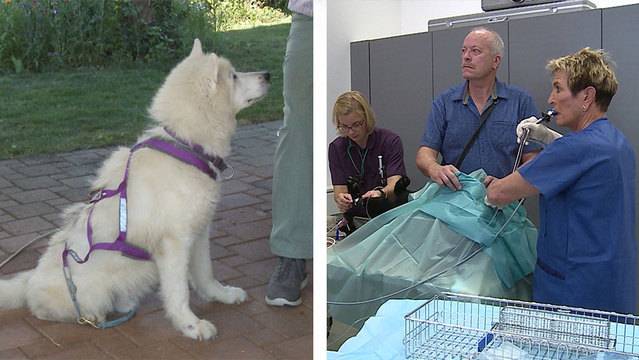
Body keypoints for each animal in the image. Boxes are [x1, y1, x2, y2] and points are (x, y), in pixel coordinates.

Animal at [0, 39, 270, 340]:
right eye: (234, 76)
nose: (268, 75)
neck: (187, 146)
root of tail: (30, 280)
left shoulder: (200, 234)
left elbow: (206, 274)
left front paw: (222, 296)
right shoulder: (174, 245)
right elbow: (179, 292)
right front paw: (190, 325)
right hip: (90, 291)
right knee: (45, 309)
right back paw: (91, 316)